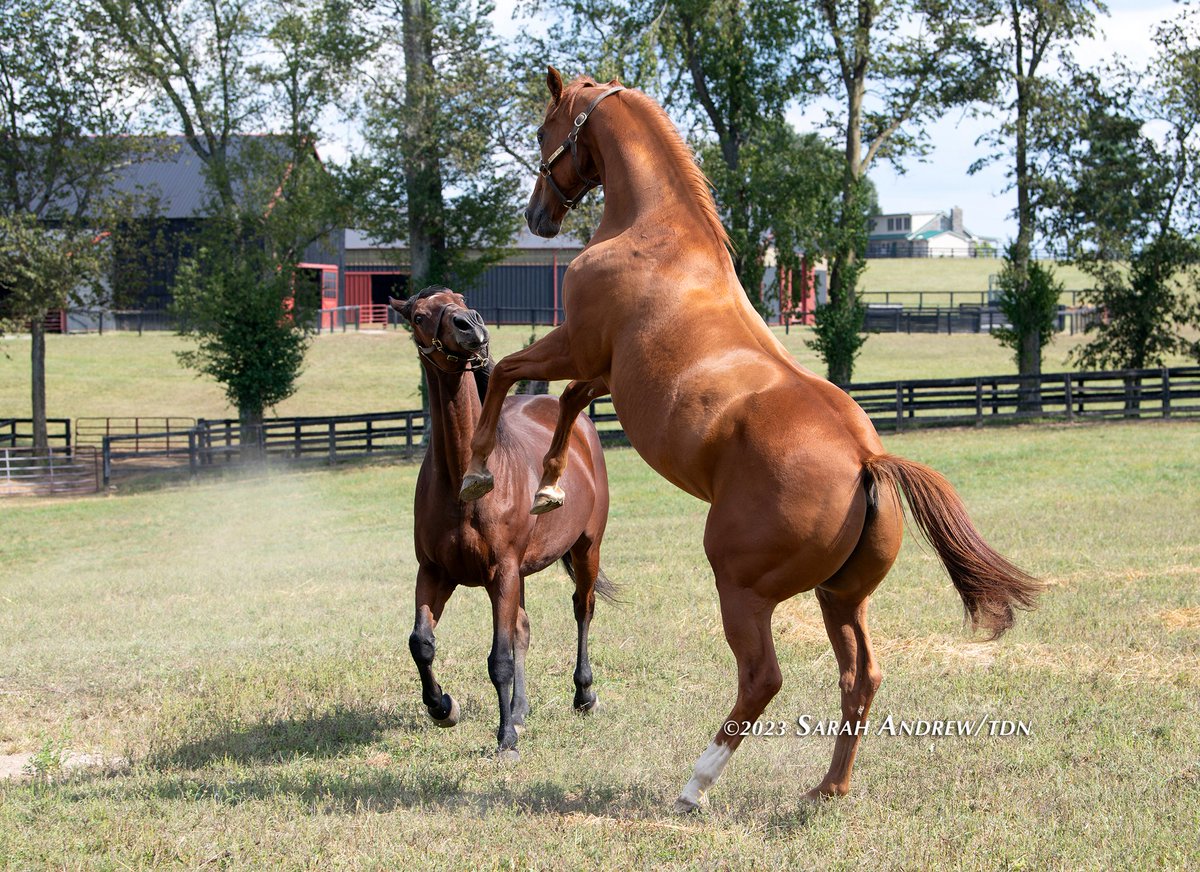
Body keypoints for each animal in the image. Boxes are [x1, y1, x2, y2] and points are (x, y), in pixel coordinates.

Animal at [393, 286, 614, 760]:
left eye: (460, 298)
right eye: (419, 316)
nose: (471, 325)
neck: (465, 482)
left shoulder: (503, 574)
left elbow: (500, 659)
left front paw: (505, 740)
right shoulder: (435, 573)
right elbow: (421, 643)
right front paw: (443, 707)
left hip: (585, 548)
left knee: (582, 609)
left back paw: (583, 694)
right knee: (524, 629)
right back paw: (519, 710)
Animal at [458, 69, 1043, 810]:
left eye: (544, 131)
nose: (538, 217)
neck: (655, 231)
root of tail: (868, 460)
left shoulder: (579, 347)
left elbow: (508, 371)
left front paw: (480, 470)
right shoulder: (599, 370)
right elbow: (562, 402)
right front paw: (551, 485)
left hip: (741, 586)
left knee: (763, 679)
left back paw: (696, 785)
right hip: (841, 597)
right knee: (861, 676)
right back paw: (827, 788)